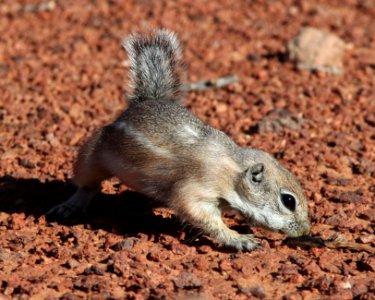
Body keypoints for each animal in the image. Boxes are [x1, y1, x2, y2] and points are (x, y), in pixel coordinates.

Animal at [47, 29, 312, 251]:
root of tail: (143, 103)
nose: (305, 230)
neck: (232, 170)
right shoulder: (197, 188)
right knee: (88, 185)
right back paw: (70, 205)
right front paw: (239, 239)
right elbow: (199, 215)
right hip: (92, 154)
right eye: (288, 201)